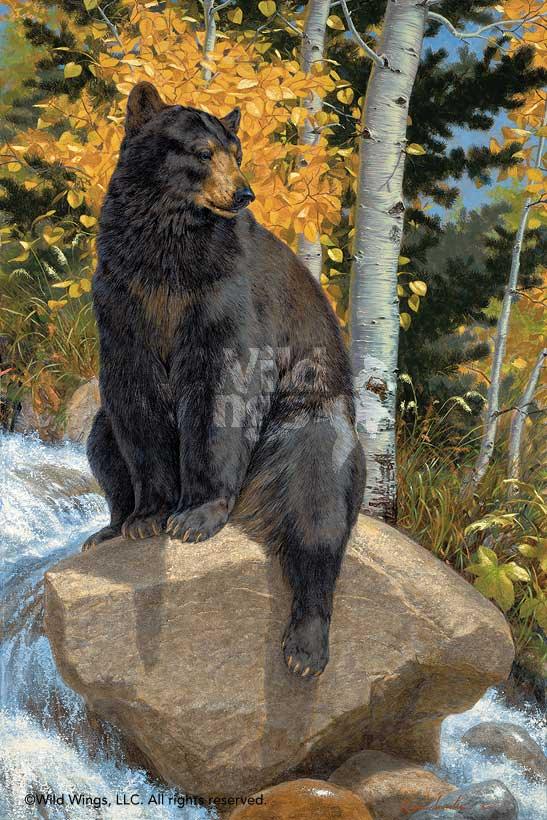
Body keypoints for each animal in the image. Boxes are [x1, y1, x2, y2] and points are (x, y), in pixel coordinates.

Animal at [84, 81, 365, 678]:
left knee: (318, 509)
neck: (168, 241)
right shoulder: (124, 298)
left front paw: (195, 516)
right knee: (102, 441)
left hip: (307, 428)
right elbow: (133, 400)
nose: (243, 194)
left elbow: (223, 392)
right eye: (202, 152)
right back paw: (109, 528)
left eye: (236, 151)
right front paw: (149, 515)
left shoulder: (224, 297)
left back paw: (305, 647)